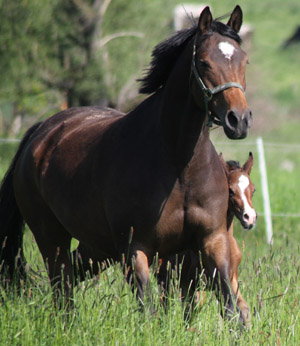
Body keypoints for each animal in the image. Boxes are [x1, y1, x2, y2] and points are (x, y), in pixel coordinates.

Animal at [157, 153, 255, 326]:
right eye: (230, 191)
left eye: (253, 190)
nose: (249, 218)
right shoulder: (199, 283)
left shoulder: (231, 279)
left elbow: (243, 309)